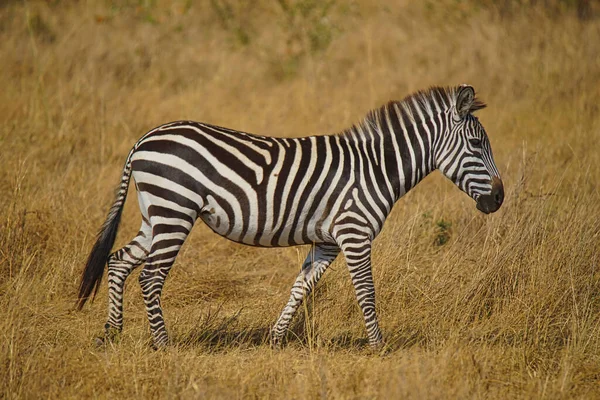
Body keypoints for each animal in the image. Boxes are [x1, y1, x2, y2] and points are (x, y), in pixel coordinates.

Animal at [77, 85, 504, 350]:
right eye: (476, 144)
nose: (499, 199)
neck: (376, 167)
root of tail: (143, 140)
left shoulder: (328, 242)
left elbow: (300, 288)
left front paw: (275, 339)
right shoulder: (354, 232)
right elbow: (366, 291)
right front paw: (378, 346)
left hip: (157, 214)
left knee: (118, 262)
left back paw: (111, 332)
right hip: (175, 210)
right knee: (149, 277)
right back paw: (163, 345)